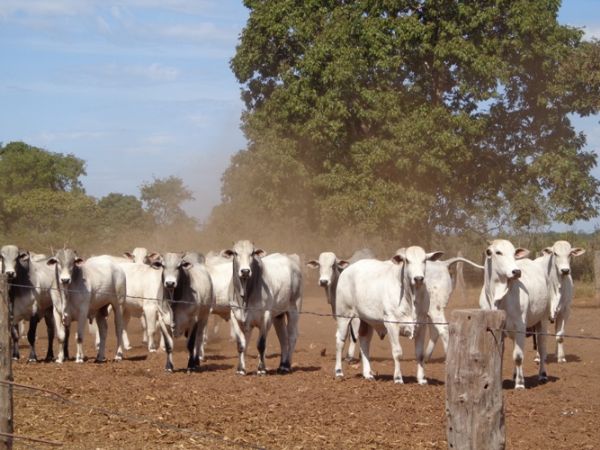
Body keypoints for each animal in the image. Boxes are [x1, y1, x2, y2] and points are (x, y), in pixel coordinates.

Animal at [223, 241, 302, 374]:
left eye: (252, 253)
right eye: (235, 253)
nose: (245, 271)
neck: (245, 295)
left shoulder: (265, 316)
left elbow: (261, 344)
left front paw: (261, 369)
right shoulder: (235, 316)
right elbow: (242, 344)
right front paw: (241, 369)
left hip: (294, 309)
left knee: (292, 337)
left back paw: (286, 366)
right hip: (278, 316)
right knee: (283, 338)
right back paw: (281, 365)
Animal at [336, 246, 442, 384]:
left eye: (424, 260)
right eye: (407, 261)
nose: (418, 278)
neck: (411, 297)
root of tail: (348, 269)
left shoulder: (421, 324)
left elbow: (420, 354)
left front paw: (422, 379)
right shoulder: (392, 323)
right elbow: (397, 352)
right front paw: (398, 378)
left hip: (366, 320)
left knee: (364, 343)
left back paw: (368, 374)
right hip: (343, 315)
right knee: (340, 340)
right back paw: (339, 372)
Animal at [478, 239, 548, 390]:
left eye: (514, 253)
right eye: (498, 252)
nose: (516, 271)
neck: (496, 296)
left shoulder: (520, 326)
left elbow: (518, 356)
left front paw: (520, 383)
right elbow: (500, 354)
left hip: (542, 320)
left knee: (542, 349)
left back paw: (542, 375)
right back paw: (515, 374)